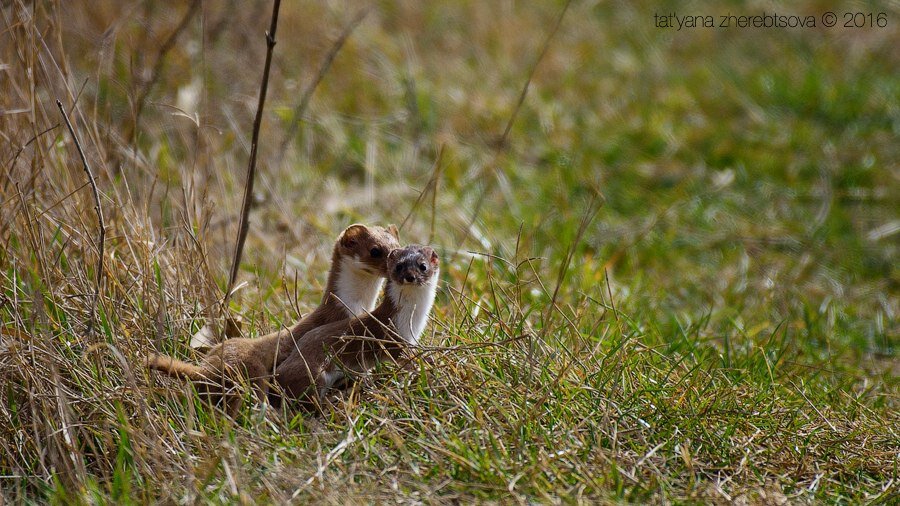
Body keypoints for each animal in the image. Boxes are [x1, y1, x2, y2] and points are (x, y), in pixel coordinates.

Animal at [148, 223, 400, 414]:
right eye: (375, 250)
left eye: (396, 248)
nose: (396, 265)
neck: (358, 304)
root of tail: (206, 369)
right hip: (253, 371)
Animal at [276, 245, 442, 408]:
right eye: (399, 266)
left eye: (423, 266)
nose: (410, 276)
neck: (413, 320)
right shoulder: (393, 337)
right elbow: (400, 355)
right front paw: (425, 361)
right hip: (313, 372)